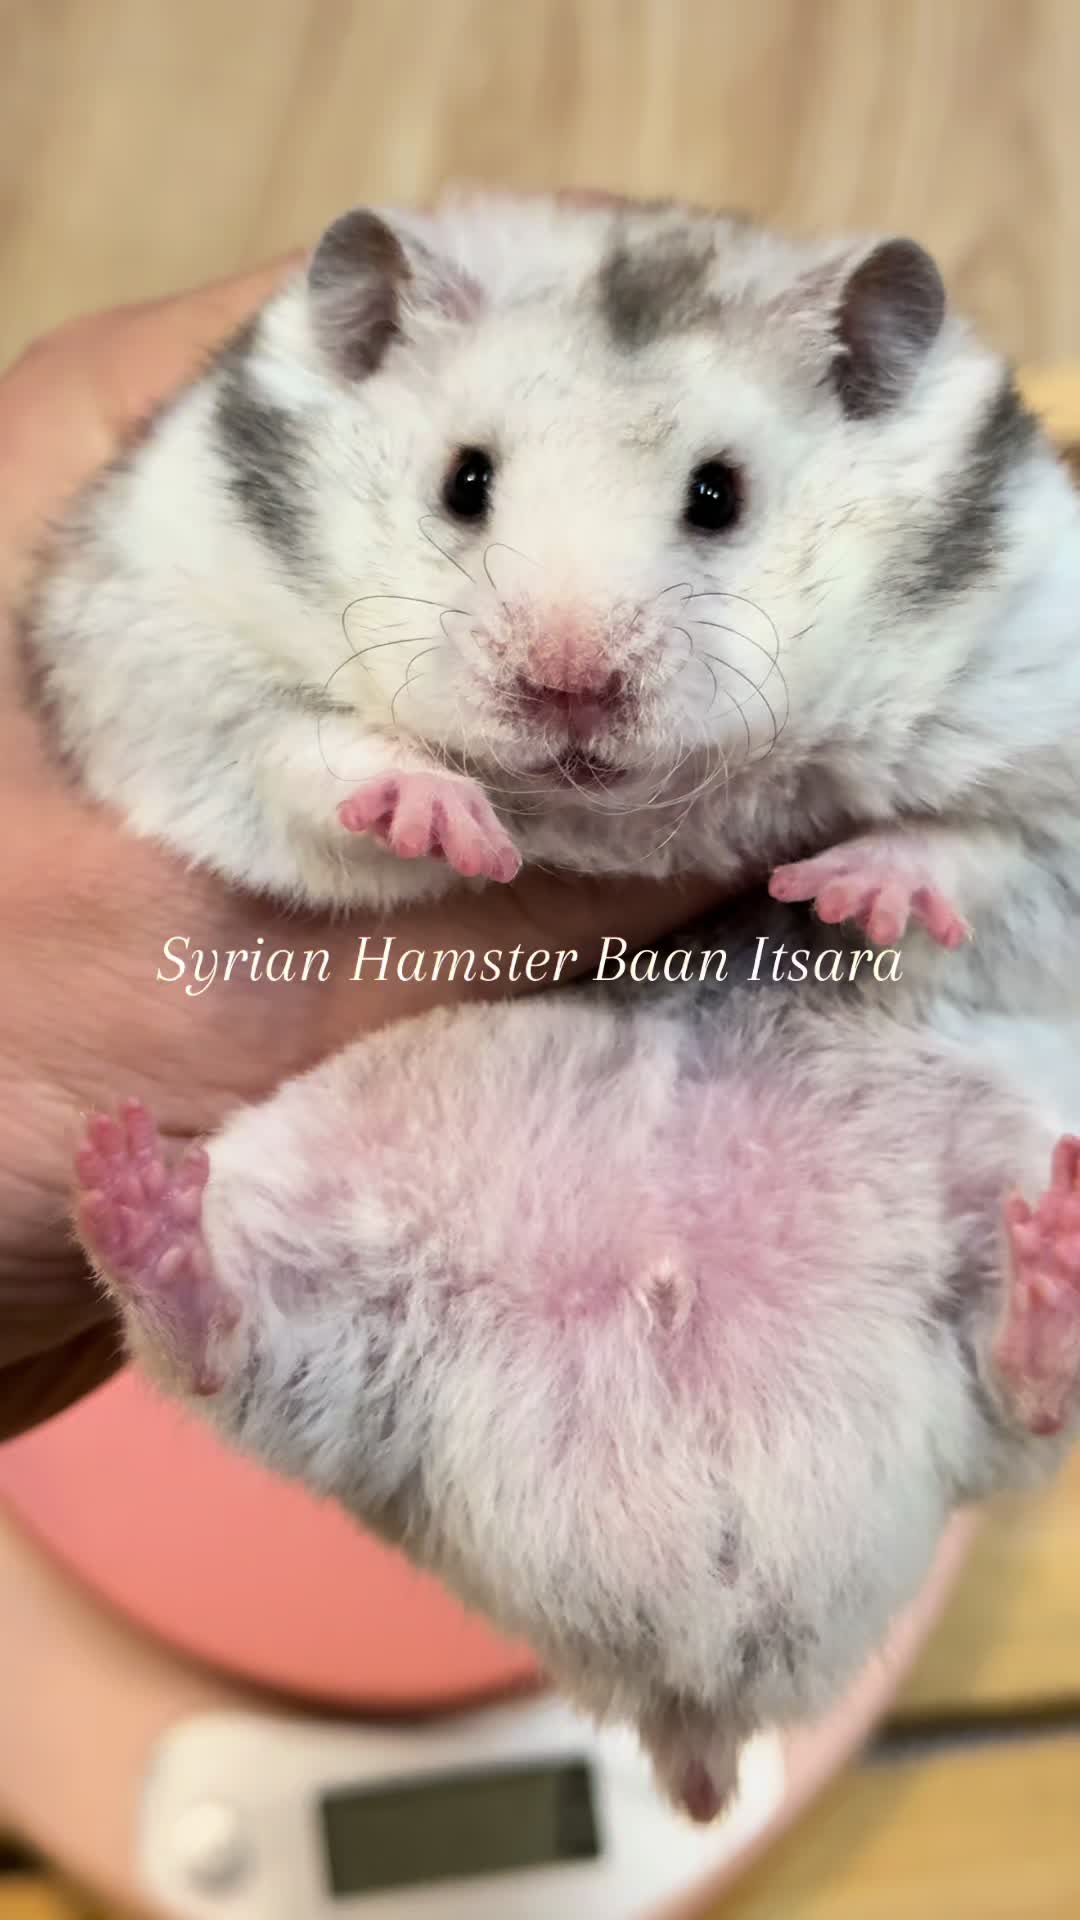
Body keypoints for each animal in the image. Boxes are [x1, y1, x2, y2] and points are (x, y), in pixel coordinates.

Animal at [21, 190, 1080, 1817]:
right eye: (465, 483)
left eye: (719, 495)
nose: (568, 686)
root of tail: (698, 1686)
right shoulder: (160, 644)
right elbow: (307, 759)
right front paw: (448, 821)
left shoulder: (1046, 701)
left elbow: (983, 836)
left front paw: (855, 893)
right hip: (338, 1286)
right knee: (230, 1346)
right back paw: (135, 1195)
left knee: (1023, 1396)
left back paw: (1058, 1251)